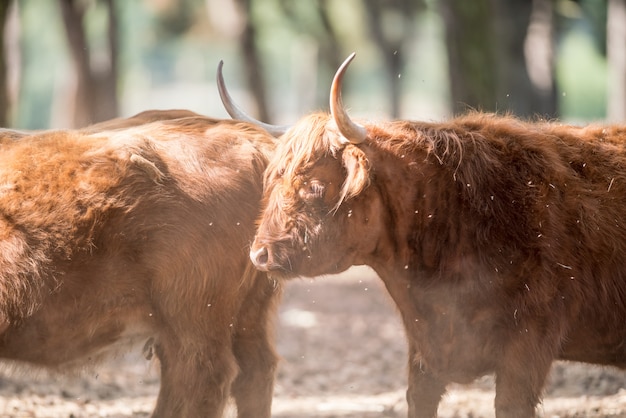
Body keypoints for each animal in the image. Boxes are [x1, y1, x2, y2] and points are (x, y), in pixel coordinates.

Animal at [245, 54, 626, 416]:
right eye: (274, 181)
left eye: (313, 186)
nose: (259, 254)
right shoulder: (424, 353)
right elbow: (419, 401)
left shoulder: (528, 345)